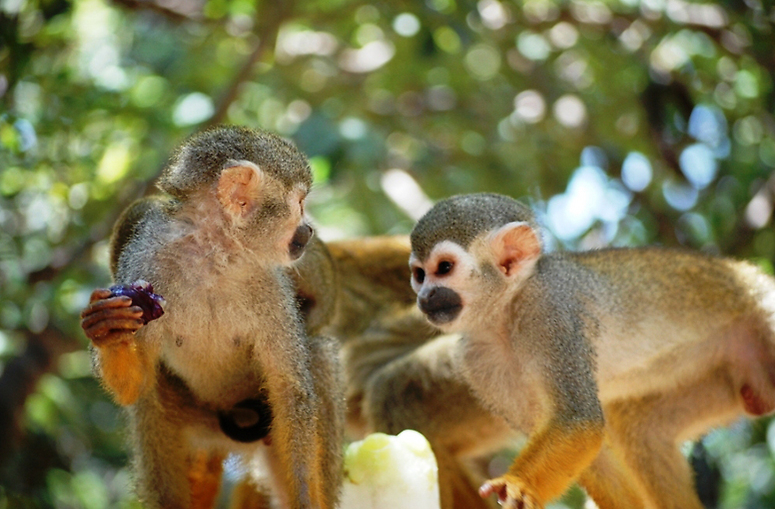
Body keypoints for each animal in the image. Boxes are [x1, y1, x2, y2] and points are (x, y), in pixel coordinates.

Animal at [81, 126, 342, 508]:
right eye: (299, 204)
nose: (308, 230)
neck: (213, 254)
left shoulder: (269, 283)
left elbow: (289, 392)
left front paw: (306, 501)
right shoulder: (144, 261)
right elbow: (136, 386)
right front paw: (108, 330)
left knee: (319, 354)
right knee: (150, 398)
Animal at [406, 192, 775, 508]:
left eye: (444, 268)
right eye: (419, 274)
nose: (425, 297)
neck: (505, 316)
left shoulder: (550, 310)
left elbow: (578, 423)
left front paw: (517, 485)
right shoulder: (477, 364)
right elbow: (593, 453)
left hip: (764, 317)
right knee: (641, 432)